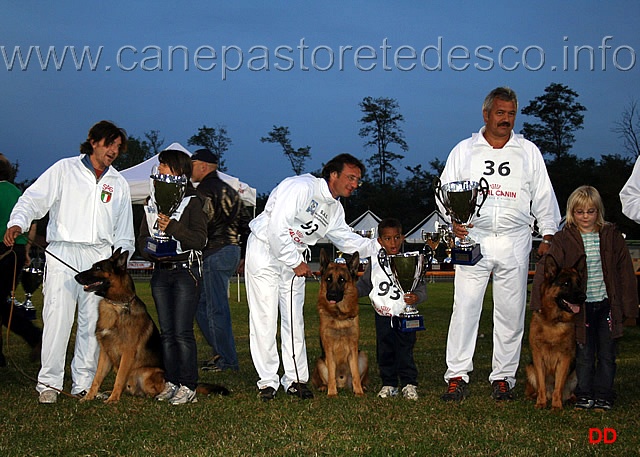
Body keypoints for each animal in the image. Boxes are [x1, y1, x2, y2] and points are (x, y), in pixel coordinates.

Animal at [75, 248, 228, 400]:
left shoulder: (127, 353)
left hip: (146, 374)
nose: (76, 277)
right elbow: (97, 378)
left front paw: (113, 399)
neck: (116, 304)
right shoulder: (105, 353)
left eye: (98, 268)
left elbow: (119, 378)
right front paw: (88, 397)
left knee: (151, 389)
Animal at [312, 248, 368, 394]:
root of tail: (342, 383)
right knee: (325, 379)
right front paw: (332, 393)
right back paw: (324, 387)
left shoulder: (353, 348)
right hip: (320, 362)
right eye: (328, 279)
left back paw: (362, 386)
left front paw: (359, 392)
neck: (339, 316)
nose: (331, 295)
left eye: (342, 280)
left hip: (363, 355)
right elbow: (331, 373)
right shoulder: (329, 349)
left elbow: (355, 373)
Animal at [524, 253, 584, 410]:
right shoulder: (538, 358)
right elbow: (542, 385)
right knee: (536, 389)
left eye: (579, 283)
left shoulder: (565, 359)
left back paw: (569, 399)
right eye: (566, 284)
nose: (583, 297)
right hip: (530, 368)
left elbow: (559, 386)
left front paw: (556, 406)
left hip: (575, 373)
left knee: (565, 391)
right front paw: (541, 402)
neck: (553, 322)